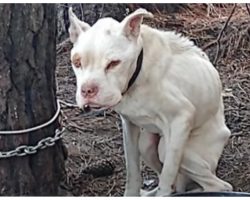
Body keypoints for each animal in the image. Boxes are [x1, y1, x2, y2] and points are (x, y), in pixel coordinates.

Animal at [68, 7, 232, 196]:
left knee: (219, 186)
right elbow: (132, 170)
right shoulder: (129, 125)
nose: (88, 90)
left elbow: (168, 174)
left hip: (172, 148)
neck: (138, 75)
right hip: (147, 145)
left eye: (114, 63)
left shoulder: (181, 119)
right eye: (77, 62)